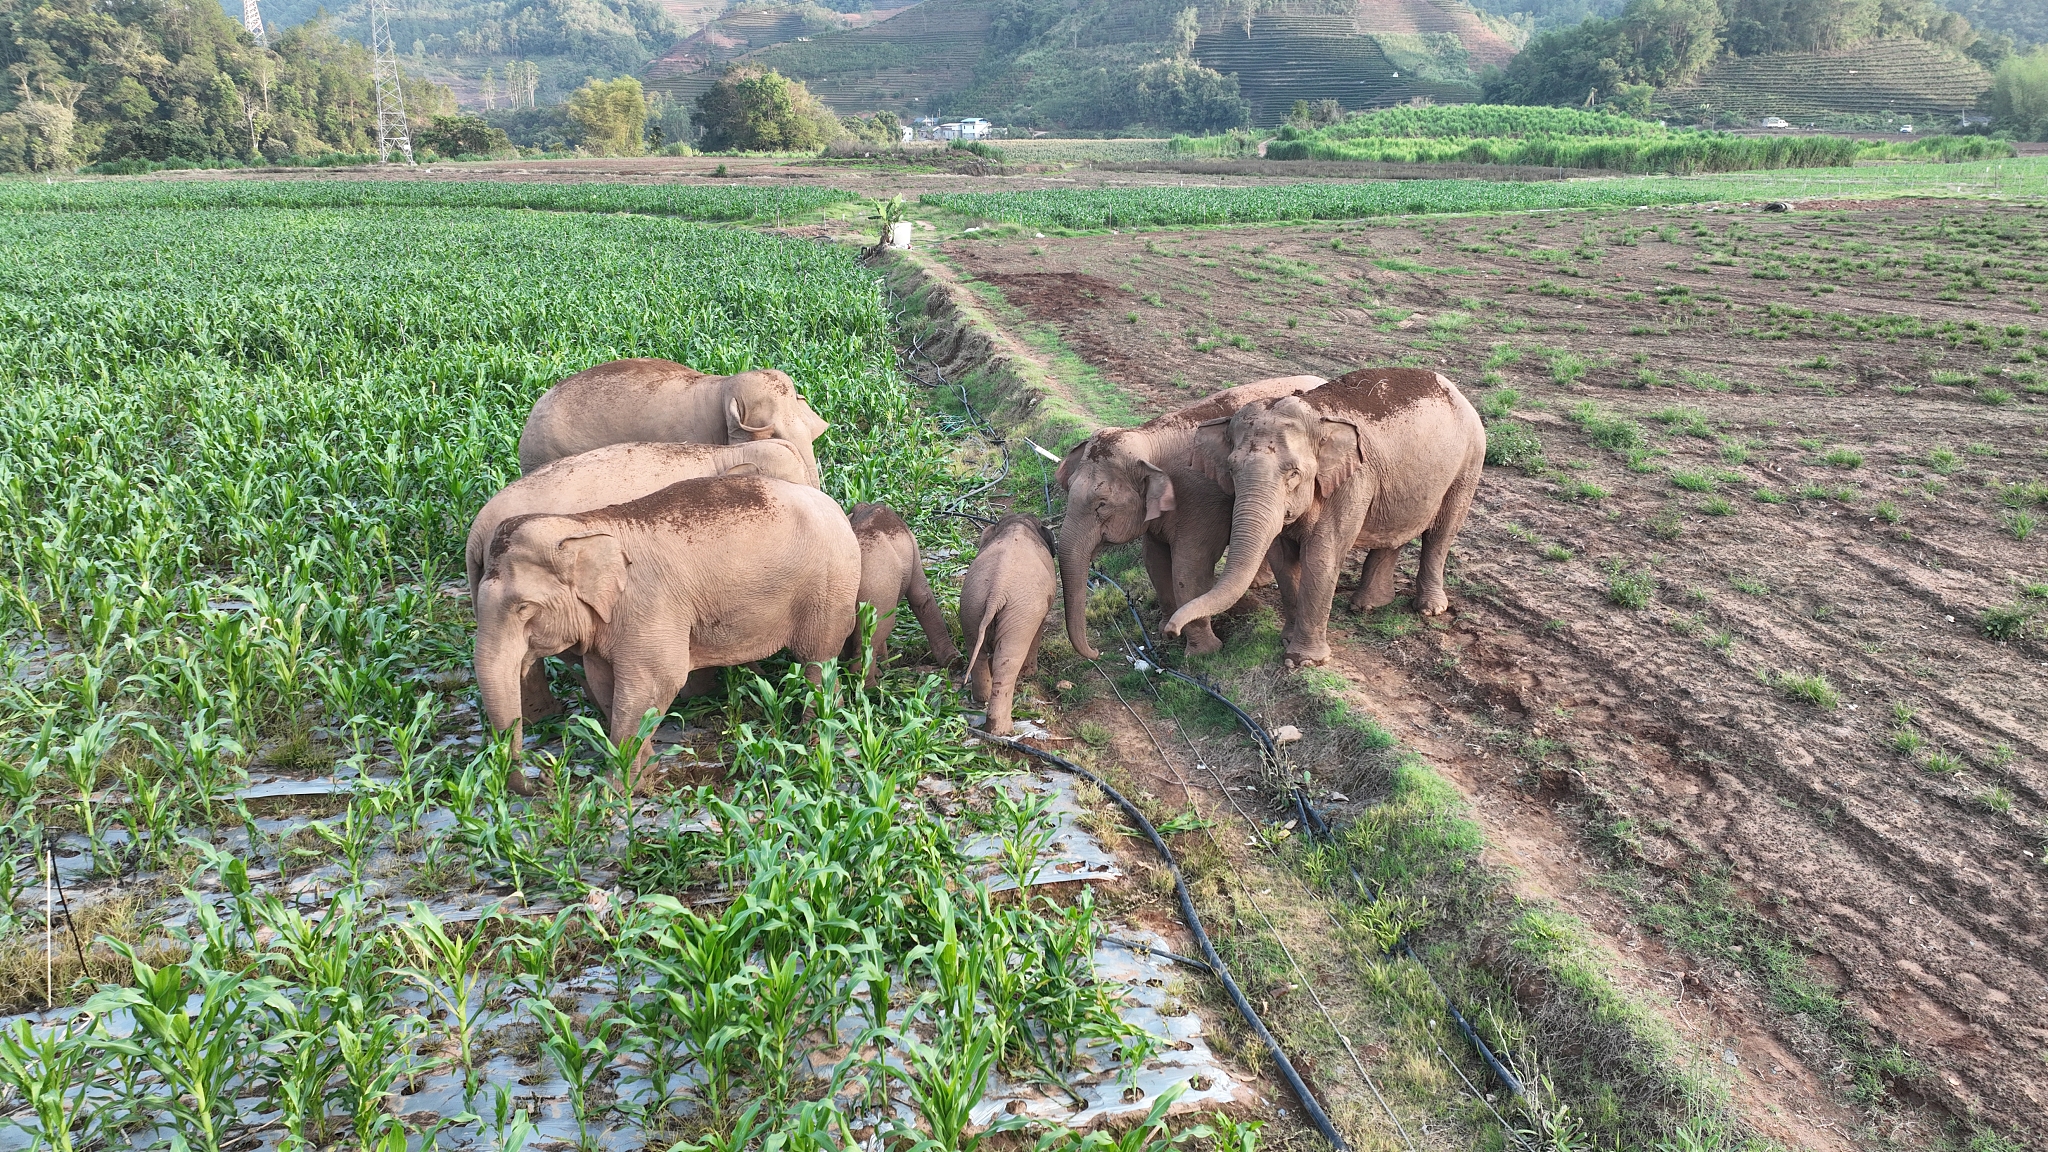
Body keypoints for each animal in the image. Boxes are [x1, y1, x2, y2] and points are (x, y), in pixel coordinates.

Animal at [958, 512, 1056, 733]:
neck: (1019, 523)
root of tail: (996, 591)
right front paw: (1030, 674)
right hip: (1020, 615)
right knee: (1008, 661)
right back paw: (1002, 729)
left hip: (972, 603)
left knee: (976, 648)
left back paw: (981, 699)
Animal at [1056, 377, 1327, 655]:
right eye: (1068, 488)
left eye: (1101, 504)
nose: (1096, 652)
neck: (1149, 439)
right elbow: (1154, 560)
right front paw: (1165, 632)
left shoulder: (1198, 502)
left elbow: (1189, 568)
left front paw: (1203, 652)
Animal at [1163, 366, 1482, 668]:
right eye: (1231, 470)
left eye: (1294, 473)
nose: (1170, 631)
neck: (1315, 412)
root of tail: (1452, 387)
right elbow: (1283, 559)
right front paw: (1287, 641)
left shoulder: (1352, 481)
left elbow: (1321, 556)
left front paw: (1304, 661)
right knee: (1395, 533)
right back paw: (1368, 605)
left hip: (1469, 462)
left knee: (1441, 532)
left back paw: (1429, 609)